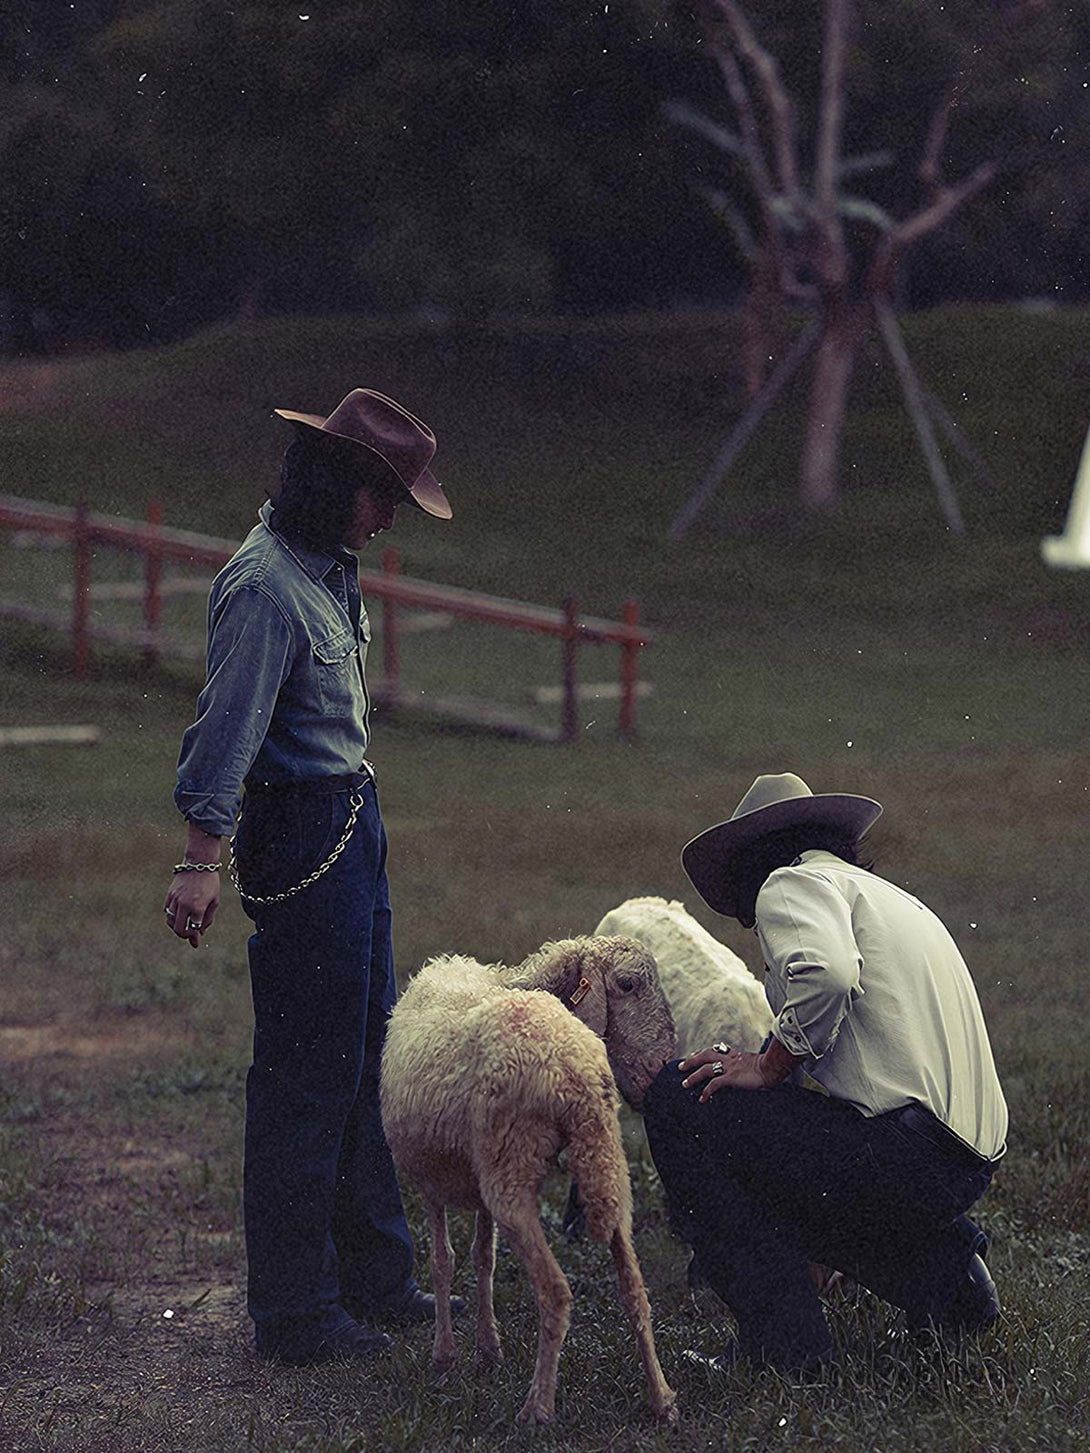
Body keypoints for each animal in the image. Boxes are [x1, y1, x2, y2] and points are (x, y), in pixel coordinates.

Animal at [380, 935, 680, 1423]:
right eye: (628, 984)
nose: (663, 1068)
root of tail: (574, 1075)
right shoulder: (472, 1176)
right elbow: (482, 1257)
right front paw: (487, 1348)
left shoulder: (433, 1183)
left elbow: (443, 1261)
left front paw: (446, 1355)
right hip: (605, 1166)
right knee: (634, 1288)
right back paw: (661, 1398)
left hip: (512, 1180)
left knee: (555, 1292)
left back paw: (537, 1408)